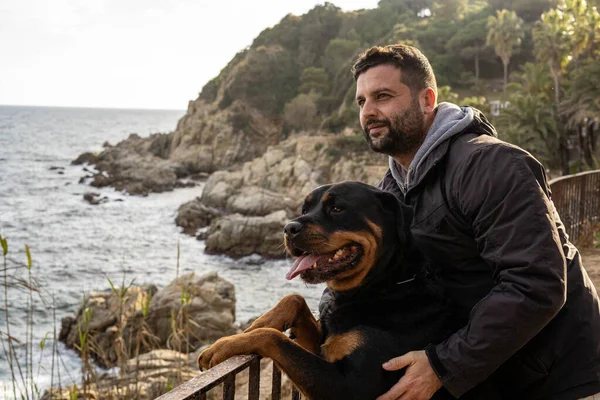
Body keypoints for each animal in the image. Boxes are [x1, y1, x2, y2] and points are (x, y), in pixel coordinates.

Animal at [197, 182, 496, 400]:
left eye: (337, 208)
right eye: (305, 206)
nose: (289, 227)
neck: (382, 287)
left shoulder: (350, 387)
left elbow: (274, 338)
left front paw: (220, 346)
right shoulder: (322, 346)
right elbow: (294, 300)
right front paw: (257, 323)